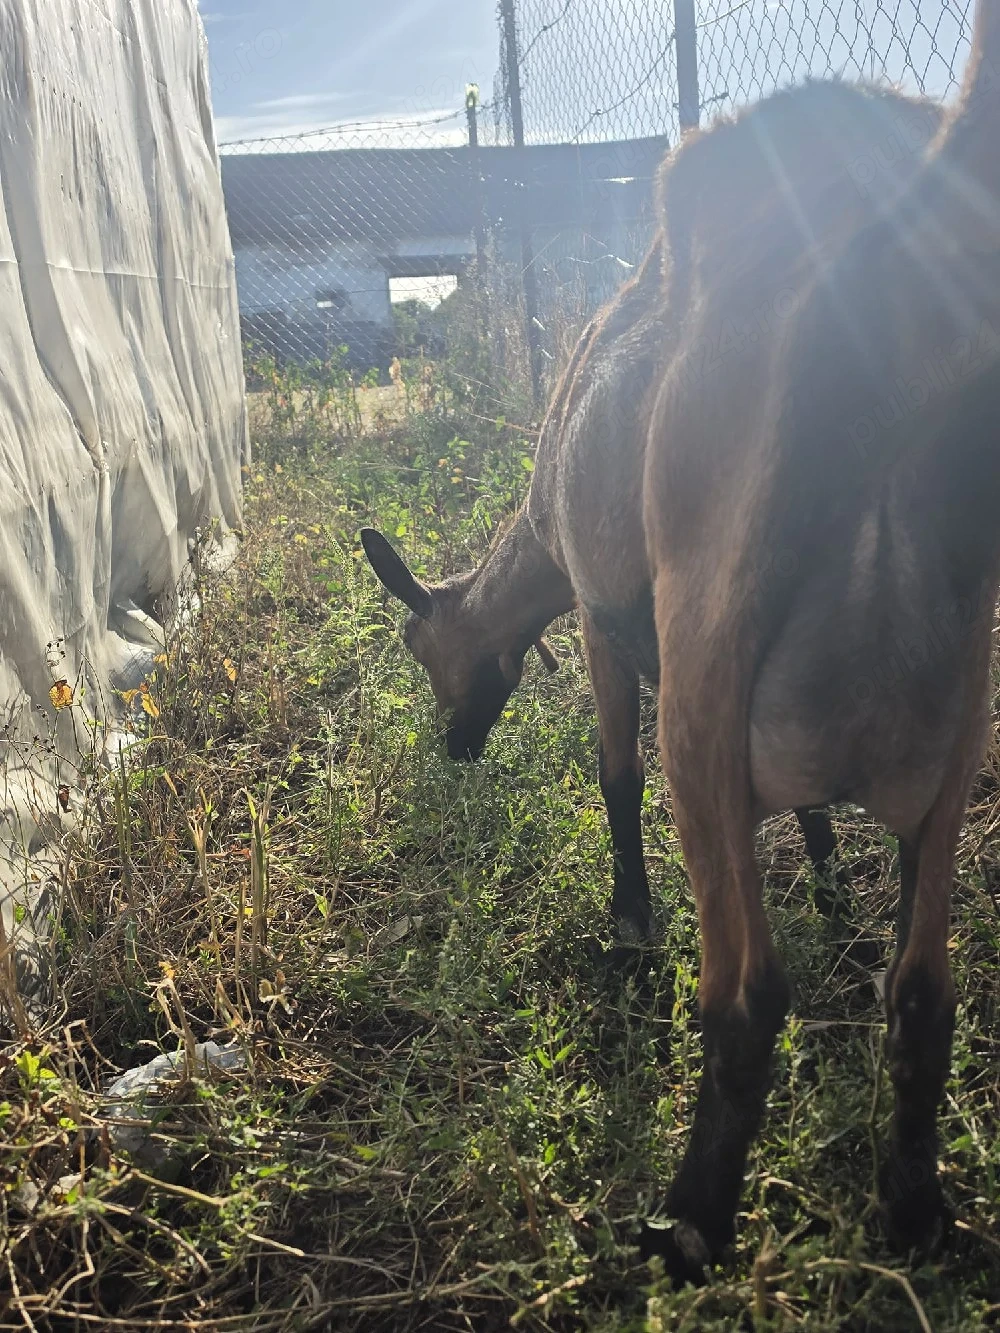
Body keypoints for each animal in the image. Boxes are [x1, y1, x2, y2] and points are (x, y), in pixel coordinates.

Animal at [360, 29, 1000, 1278]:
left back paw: (688, 1218)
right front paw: (833, 889)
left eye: (423, 647)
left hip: (706, 684)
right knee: (922, 993)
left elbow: (611, 775)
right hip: (957, 719)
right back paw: (910, 1209)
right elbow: (819, 830)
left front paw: (626, 919)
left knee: (747, 991)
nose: (456, 747)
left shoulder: (610, 625)